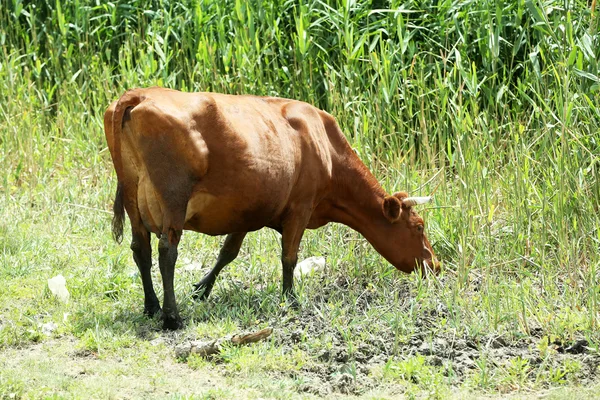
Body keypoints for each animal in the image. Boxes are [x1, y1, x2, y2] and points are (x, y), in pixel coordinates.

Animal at [103, 88, 438, 332]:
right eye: (419, 226)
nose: (434, 264)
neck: (325, 146)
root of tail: (140, 93)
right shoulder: (300, 208)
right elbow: (289, 257)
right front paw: (290, 299)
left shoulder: (247, 209)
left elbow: (228, 252)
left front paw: (202, 289)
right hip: (174, 198)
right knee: (166, 251)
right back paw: (171, 317)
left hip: (132, 196)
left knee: (141, 248)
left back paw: (152, 306)